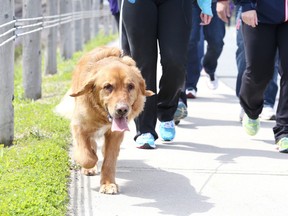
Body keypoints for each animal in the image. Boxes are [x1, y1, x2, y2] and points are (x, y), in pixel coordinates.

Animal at [69, 46, 154, 194]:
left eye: (130, 86)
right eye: (108, 87)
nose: (122, 110)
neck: (102, 115)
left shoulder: (115, 135)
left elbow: (109, 160)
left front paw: (108, 184)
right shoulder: (79, 125)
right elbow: (86, 156)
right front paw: (90, 161)